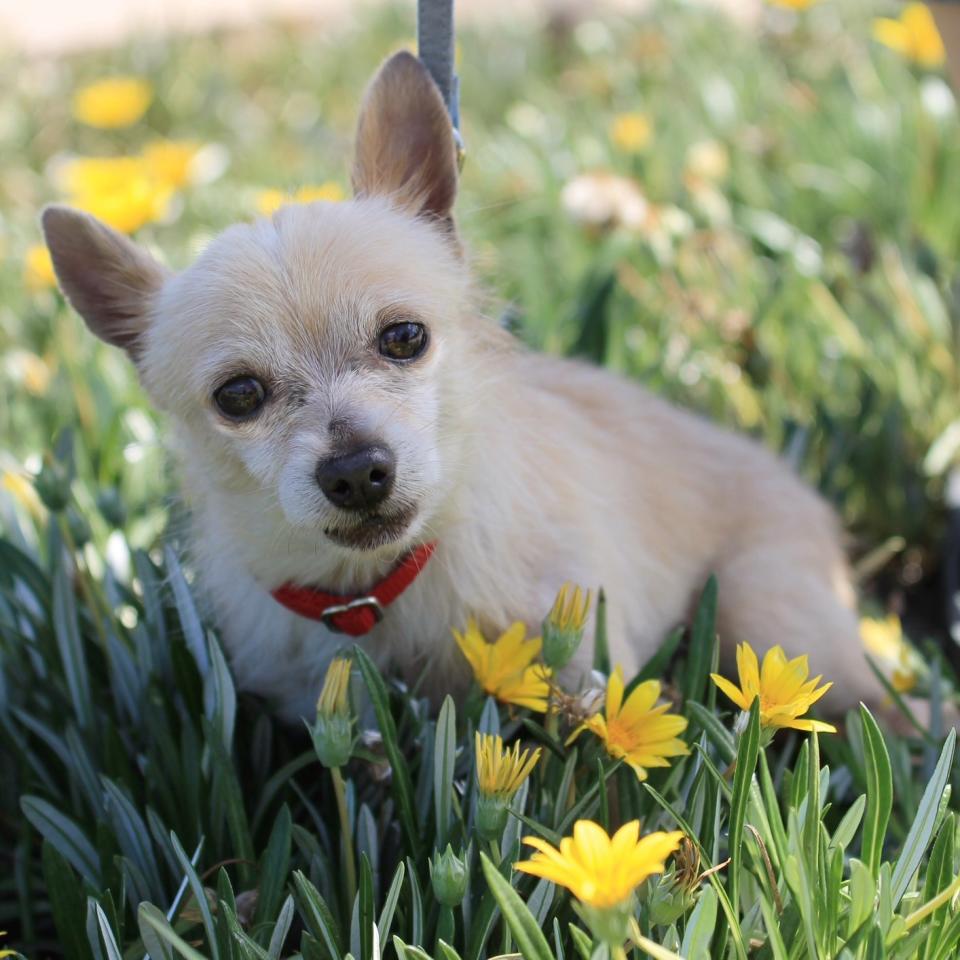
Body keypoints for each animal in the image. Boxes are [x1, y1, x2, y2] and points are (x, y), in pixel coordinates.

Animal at [43, 47, 884, 720]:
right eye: (238, 396)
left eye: (404, 338)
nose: (357, 471)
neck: (377, 589)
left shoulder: (582, 669)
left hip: (770, 618)